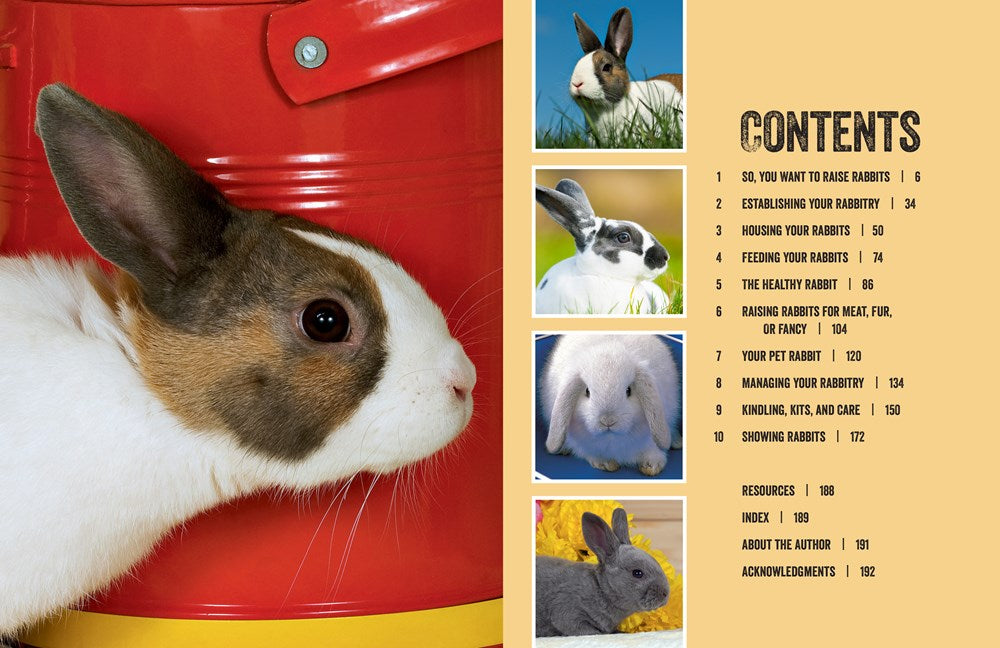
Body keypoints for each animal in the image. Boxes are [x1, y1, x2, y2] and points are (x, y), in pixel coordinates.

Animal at [539, 334, 681, 476]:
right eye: (587, 391)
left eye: (628, 390)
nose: (608, 421)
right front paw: (606, 464)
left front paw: (651, 466)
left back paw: (677, 441)